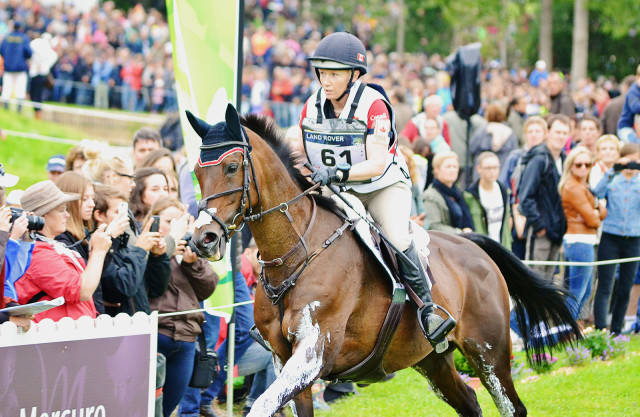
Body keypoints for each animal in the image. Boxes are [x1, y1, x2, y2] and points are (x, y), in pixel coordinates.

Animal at [188, 104, 576, 416]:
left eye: (232, 167)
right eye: (197, 171)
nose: (202, 239)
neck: (295, 254)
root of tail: (474, 245)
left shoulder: (312, 356)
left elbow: (262, 406)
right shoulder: (284, 360)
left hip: (489, 352)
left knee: (511, 405)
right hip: (433, 360)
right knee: (469, 401)